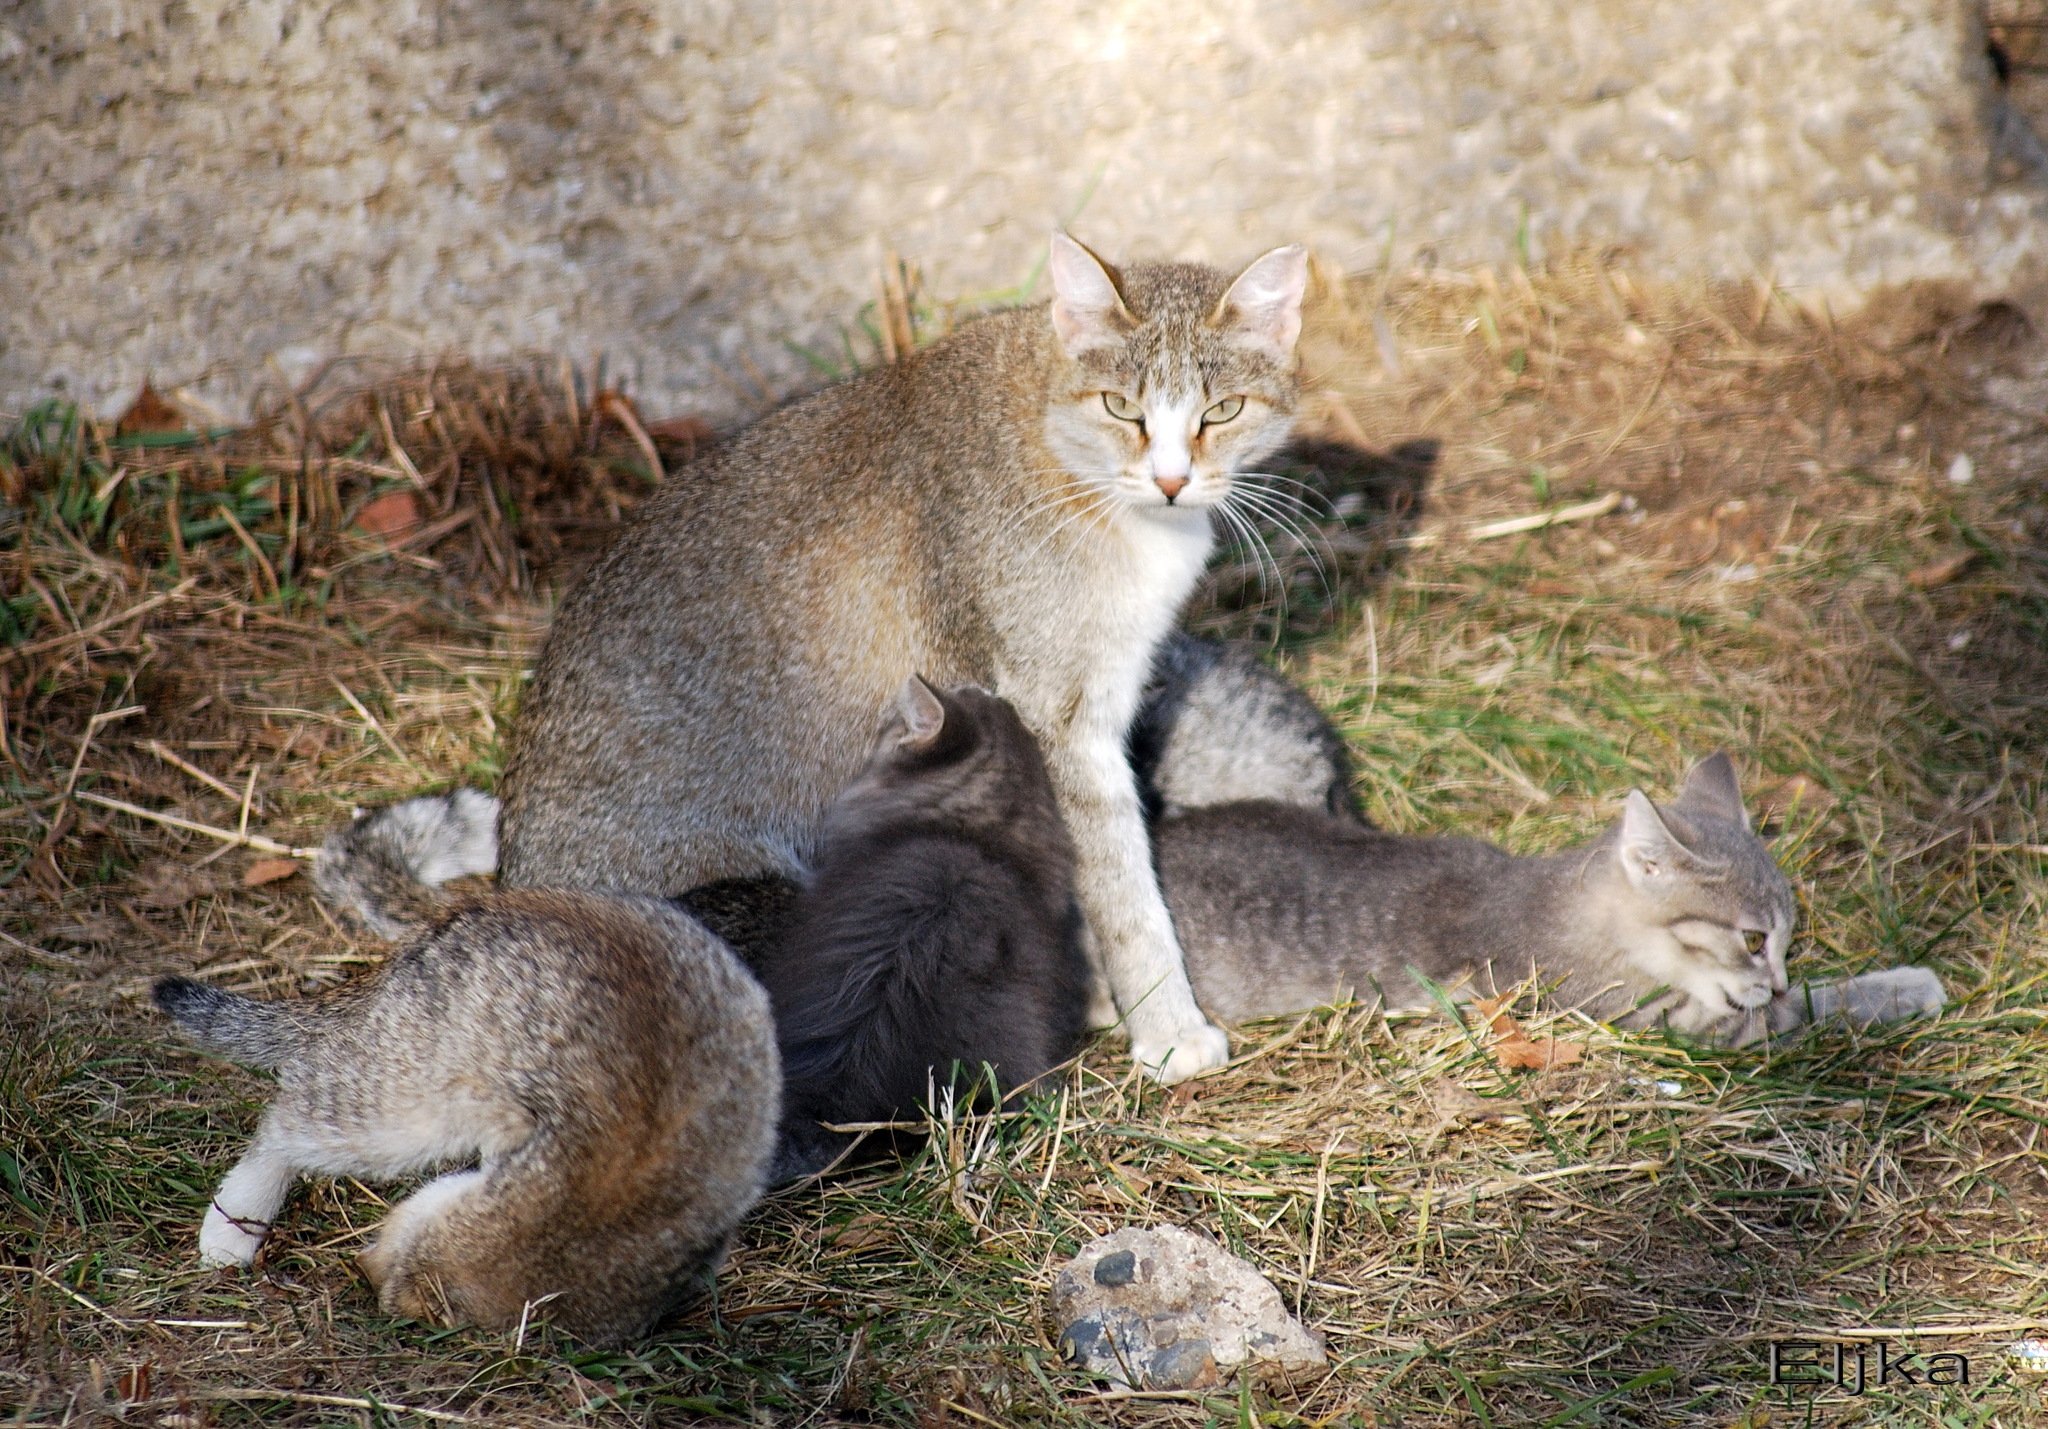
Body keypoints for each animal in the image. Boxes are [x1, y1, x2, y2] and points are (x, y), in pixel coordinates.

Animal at [157, 863, 774, 1343]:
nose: (366, 1270)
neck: (600, 1232)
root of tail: (477, 906)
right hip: (413, 1095)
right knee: (288, 1124)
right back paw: (237, 1222)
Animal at [491, 233, 1310, 1080]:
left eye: (1222, 410)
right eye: (1122, 407)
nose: (1174, 480)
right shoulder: (1059, 716)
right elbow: (1122, 890)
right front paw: (1169, 1026)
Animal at [1163, 757, 1941, 1048]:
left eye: (1786, 938)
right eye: (1754, 940)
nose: (1775, 975)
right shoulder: (1658, 1017)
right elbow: (1804, 1008)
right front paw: (1902, 986)